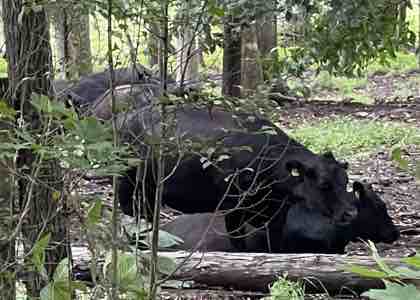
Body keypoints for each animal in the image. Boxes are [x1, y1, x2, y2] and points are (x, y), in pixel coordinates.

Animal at [118, 105, 358, 251]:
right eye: (324, 184)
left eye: (345, 181)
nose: (351, 213)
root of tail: (128, 117)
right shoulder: (233, 209)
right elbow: (239, 245)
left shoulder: (276, 216)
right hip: (128, 184)